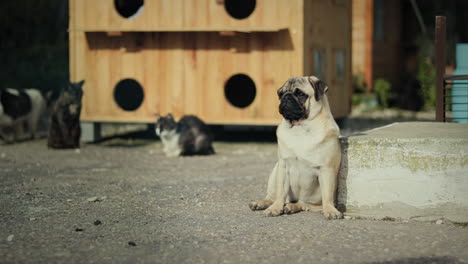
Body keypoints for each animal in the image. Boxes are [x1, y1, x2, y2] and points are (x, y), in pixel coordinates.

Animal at [249, 76, 344, 219]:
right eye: (281, 94)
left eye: (300, 94)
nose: (286, 97)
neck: (300, 127)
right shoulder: (283, 167)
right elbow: (280, 193)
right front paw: (275, 208)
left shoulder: (326, 169)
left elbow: (327, 196)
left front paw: (330, 210)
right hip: (275, 172)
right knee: (273, 197)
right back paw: (261, 203)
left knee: (306, 204)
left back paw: (291, 207)